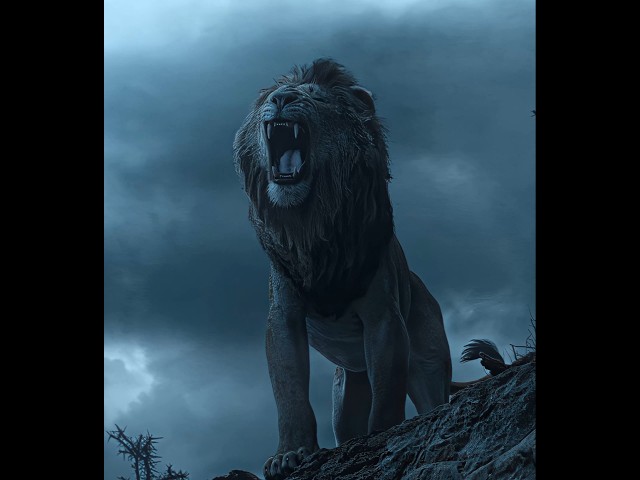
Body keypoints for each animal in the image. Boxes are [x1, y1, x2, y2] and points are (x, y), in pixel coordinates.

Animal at [233, 58, 452, 480]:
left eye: (314, 96)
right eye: (271, 98)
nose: (281, 98)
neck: (313, 226)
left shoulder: (383, 316)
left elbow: (388, 393)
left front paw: (382, 434)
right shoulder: (283, 315)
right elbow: (290, 394)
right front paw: (290, 454)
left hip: (429, 362)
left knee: (432, 399)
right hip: (347, 392)